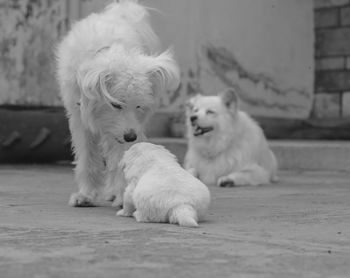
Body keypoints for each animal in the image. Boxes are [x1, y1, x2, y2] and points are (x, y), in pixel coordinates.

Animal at [56, 0, 180, 206]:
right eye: (116, 105)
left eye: (139, 106)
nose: (130, 137)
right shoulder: (80, 119)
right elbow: (87, 156)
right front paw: (86, 195)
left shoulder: (129, 128)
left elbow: (121, 158)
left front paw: (123, 196)